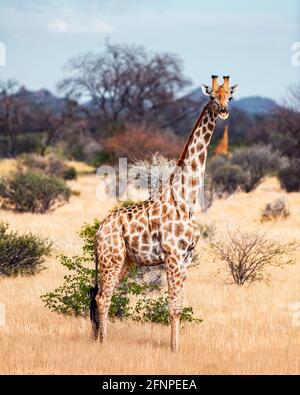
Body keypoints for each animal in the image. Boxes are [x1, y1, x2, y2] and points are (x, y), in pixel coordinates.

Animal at [90, 75, 238, 352]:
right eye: (212, 96)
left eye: (230, 97)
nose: (224, 111)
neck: (186, 199)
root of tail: (99, 230)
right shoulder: (173, 256)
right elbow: (173, 307)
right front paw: (174, 349)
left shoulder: (186, 258)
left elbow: (178, 305)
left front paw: (175, 346)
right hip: (111, 258)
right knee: (102, 297)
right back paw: (103, 343)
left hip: (124, 261)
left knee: (101, 295)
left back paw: (97, 338)